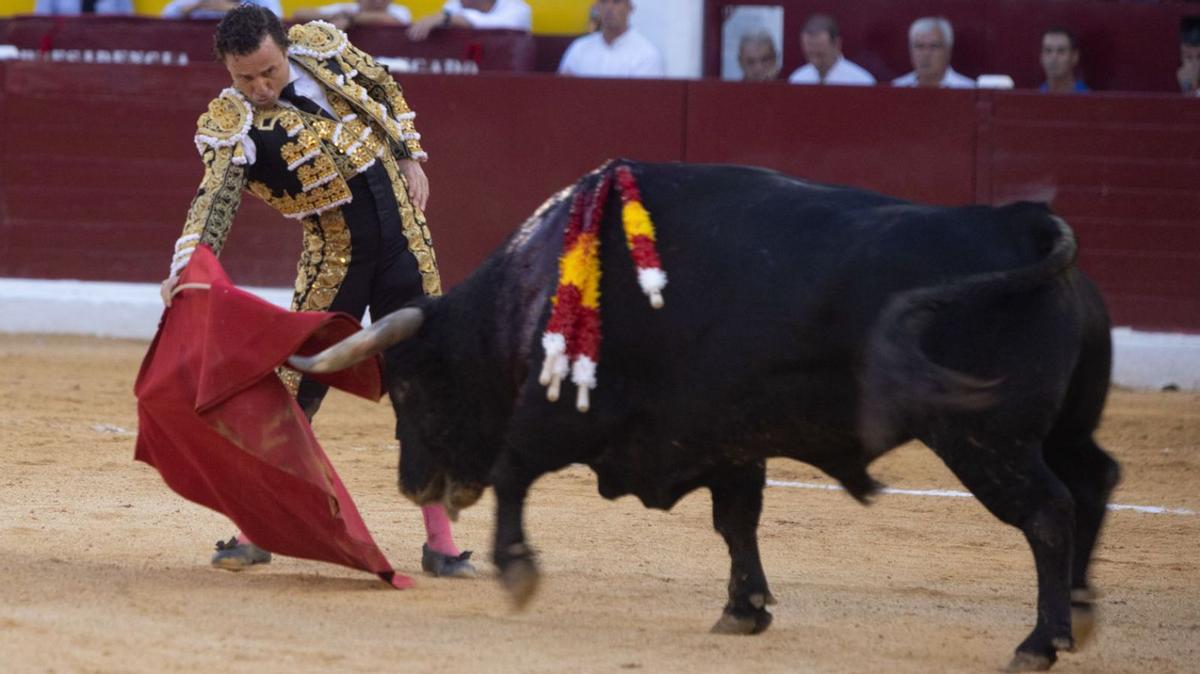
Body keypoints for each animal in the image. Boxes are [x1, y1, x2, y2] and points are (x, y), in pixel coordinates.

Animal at [290, 159, 1113, 666]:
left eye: (408, 390)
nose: (413, 485)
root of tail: (1023, 226)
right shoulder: (727, 440)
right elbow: (736, 522)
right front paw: (743, 610)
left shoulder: (569, 417)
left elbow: (517, 470)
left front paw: (518, 571)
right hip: (1057, 429)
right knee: (1094, 481)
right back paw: (1078, 612)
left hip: (983, 436)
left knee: (1048, 512)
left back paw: (1039, 642)